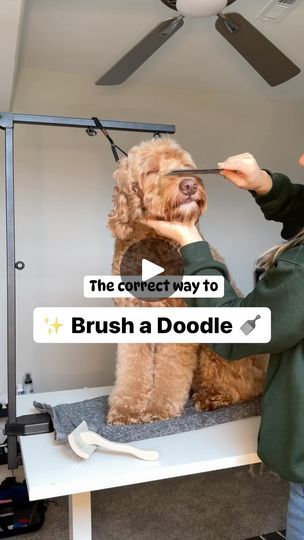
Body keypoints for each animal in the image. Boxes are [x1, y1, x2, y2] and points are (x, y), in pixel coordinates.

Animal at [105, 137, 268, 424]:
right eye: (151, 171)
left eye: (185, 166)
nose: (189, 185)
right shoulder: (131, 315)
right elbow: (131, 368)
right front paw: (127, 408)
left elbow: (170, 371)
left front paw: (159, 407)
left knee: (243, 387)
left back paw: (213, 396)